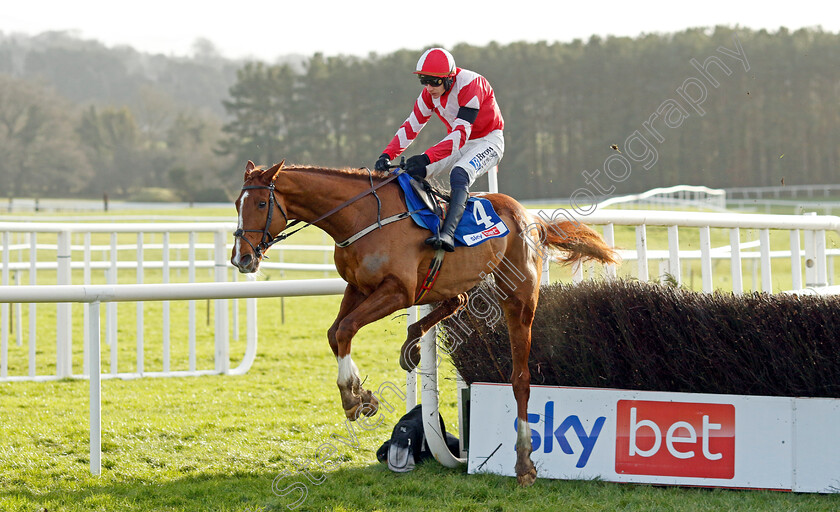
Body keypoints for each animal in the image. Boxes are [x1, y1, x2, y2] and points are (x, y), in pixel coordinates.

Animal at [230, 159, 616, 484]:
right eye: (236, 203)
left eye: (261, 204)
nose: (241, 258)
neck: (360, 217)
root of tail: (530, 218)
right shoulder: (358, 287)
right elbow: (335, 332)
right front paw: (362, 394)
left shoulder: (397, 290)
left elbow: (346, 329)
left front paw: (352, 396)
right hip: (453, 280)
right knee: (457, 300)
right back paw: (412, 342)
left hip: (518, 296)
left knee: (520, 378)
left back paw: (524, 464)